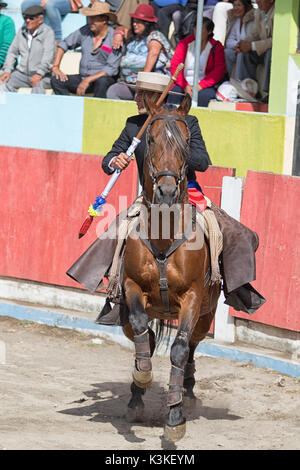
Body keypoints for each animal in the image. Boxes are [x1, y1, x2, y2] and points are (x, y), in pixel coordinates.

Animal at [120, 93, 221, 442]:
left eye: (186, 141)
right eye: (150, 139)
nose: (165, 191)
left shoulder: (192, 298)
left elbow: (178, 350)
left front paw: (175, 418)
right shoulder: (131, 288)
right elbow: (141, 329)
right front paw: (141, 379)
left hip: (207, 313)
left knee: (191, 345)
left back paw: (187, 392)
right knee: (146, 338)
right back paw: (136, 395)